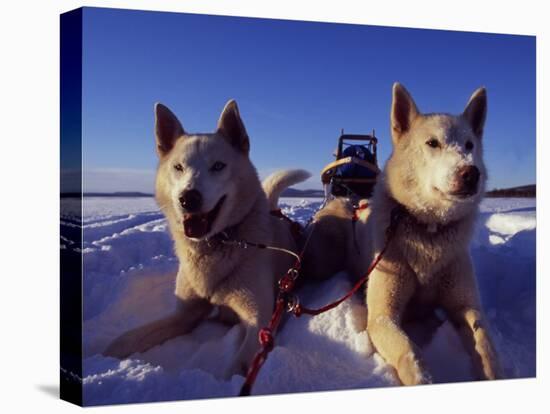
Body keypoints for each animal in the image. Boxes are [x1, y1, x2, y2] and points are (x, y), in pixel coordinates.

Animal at [104, 100, 310, 378]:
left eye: (218, 166)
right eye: (178, 167)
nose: (188, 198)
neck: (218, 243)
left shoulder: (259, 321)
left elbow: (236, 369)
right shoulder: (185, 313)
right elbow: (132, 337)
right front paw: (103, 353)